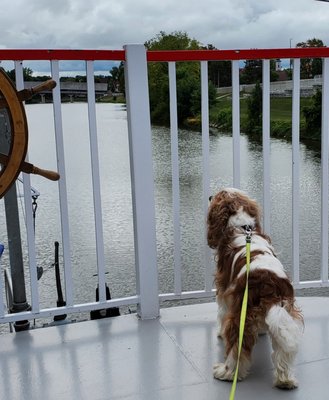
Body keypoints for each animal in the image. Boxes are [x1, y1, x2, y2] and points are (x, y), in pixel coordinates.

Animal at [208, 188, 302, 390]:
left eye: (218, 194)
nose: (210, 196)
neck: (242, 228)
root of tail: (270, 285)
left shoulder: (224, 289)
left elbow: (221, 312)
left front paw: (219, 332)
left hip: (239, 317)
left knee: (236, 346)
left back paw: (226, 372)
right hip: (285, 311)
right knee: (282, 351)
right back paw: (286, 380)